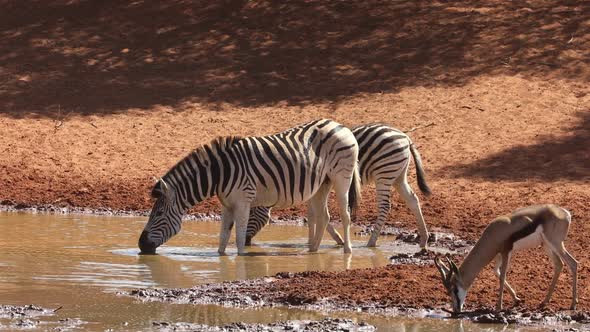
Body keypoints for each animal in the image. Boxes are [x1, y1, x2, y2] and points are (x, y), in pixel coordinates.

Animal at [139, 118, 364, 255]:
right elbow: (223, 238)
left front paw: (240, 258)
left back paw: (348, 251)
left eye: (158, 214)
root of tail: (339, 124)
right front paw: (221, 258)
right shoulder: (227, 204)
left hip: (341, 177)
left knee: (345, 214)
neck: (220, 173)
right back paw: (313, 252)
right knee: (324, 216)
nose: (140, 245)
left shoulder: (243, 201)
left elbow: (238, 238)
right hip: (322, 183)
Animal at [246, 123, 434, 248]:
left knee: (385, 206)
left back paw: (371, 242)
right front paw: (312, 240)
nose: (246, 242)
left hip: (384, 173)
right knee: (413, 199)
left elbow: (317, 215)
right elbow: (313, 214)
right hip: (398, 175)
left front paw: (336, 239)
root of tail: (405, 136)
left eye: (250, 215)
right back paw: (424, 238)